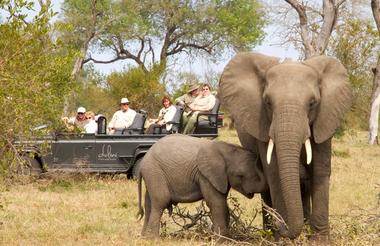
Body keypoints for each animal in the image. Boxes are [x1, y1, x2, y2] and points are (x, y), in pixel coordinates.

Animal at [138, 134, 266, 237]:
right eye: (240, 175)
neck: (226, 150)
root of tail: (145, 158)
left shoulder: (220, 177)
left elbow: (223, 202)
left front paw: (228, 238)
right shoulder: (205, 175)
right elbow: (216, 202)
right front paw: (223, 241)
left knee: (148, 203)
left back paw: (144, 237)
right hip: (154, 171)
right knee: (161, 201)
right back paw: (153, 239)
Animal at [218, 52, 352, 238]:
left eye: (312, 103)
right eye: (267, 102)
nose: (281, 224)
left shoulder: (325, 119)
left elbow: (320, 170)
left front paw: (319, 239)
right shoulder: (262, 124)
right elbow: (274, 172)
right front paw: (282, 238)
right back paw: (269, 232)